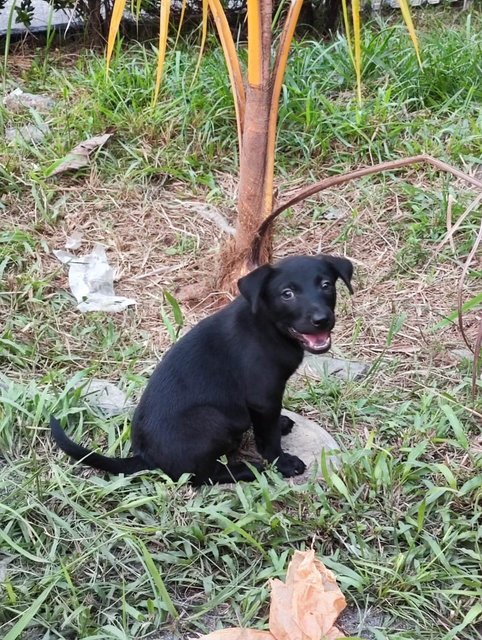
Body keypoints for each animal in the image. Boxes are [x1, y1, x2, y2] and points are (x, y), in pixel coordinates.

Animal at [50, 252, 352, 482]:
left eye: (326, 285)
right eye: (287, 294)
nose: (322, 319)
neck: (267, 326)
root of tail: (145, 456)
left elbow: (270, 426)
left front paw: (282, 424)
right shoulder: (262, 397)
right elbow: (267, 438)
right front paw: (283, 463)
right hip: (212, 419)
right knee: (200, 475)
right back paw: (244, 470)